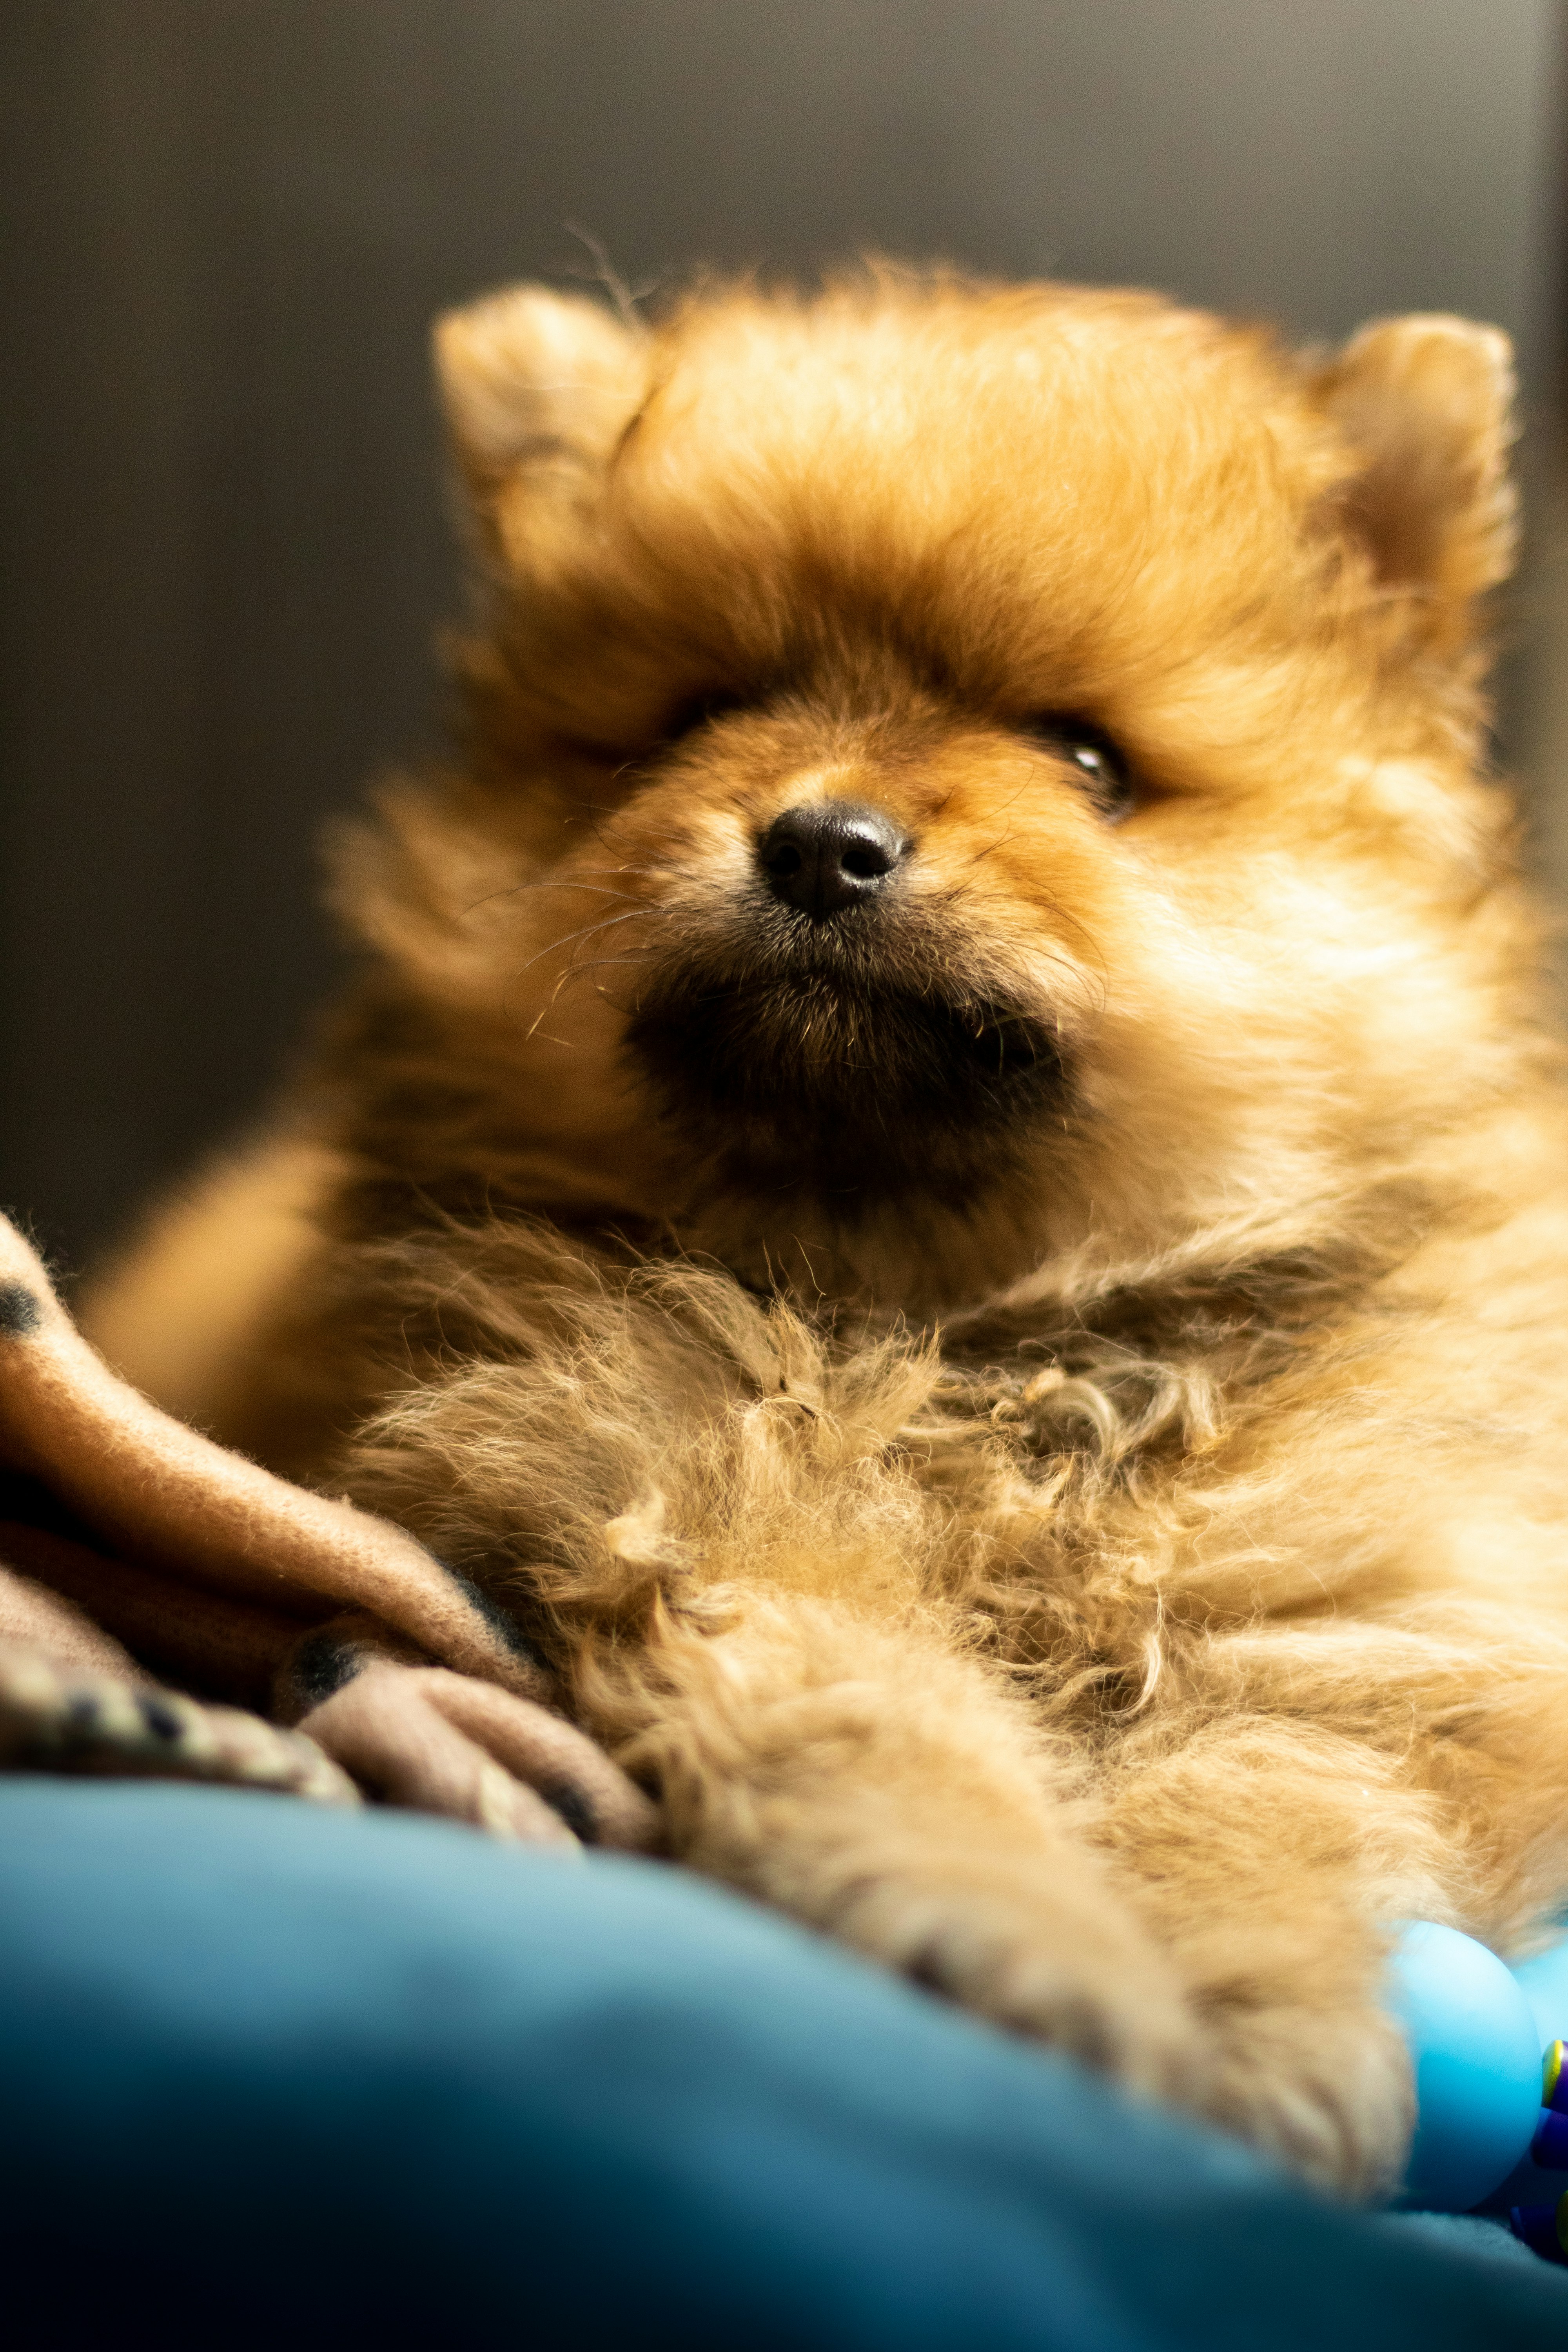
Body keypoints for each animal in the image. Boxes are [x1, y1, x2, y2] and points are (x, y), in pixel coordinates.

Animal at [83, 267, 1568, 2192]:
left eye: (1084, 758)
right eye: (700, 713)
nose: (818, 839)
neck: (945, 1318)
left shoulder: (1343, 1634)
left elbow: (1257, 1805)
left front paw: (1253, 2025)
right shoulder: (707, 1526)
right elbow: (897, 1730)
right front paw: (1032, 1942)